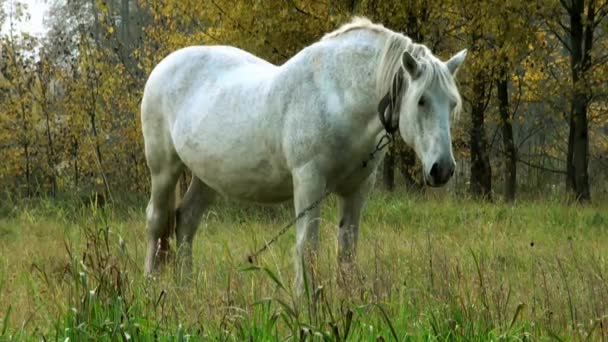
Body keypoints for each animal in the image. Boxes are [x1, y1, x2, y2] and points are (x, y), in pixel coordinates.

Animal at [142, 16, 466, 292]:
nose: (443, 169)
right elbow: (307, 246)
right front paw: (306, 302)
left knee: (186, 221)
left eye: (452, 103)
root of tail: (164, 66)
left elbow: (347, 249)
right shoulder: (309, 182)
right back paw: (151, 285)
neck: (337, 97)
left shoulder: (358, 189)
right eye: (421, 100)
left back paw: (187, 286)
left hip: (207, 177)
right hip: (164, 169)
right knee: (156, 221)